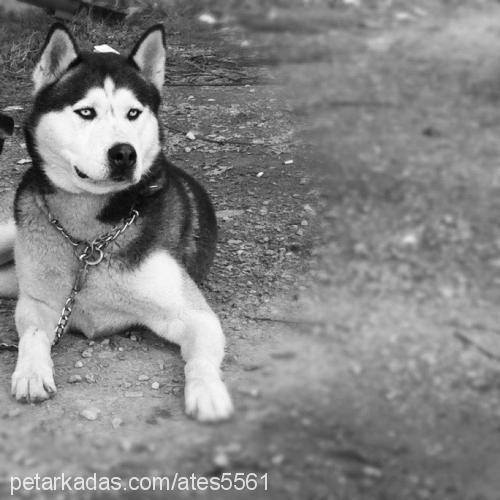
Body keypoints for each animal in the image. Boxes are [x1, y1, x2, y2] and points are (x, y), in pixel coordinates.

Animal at [0, 23, 234, 422]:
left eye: (133, 113)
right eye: (86, 112)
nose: (125, 153)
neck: (89, 236)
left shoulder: (192, 315)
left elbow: (201, 358)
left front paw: (207, 392)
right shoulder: (38, 302)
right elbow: (32, 337)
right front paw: (31, 372)